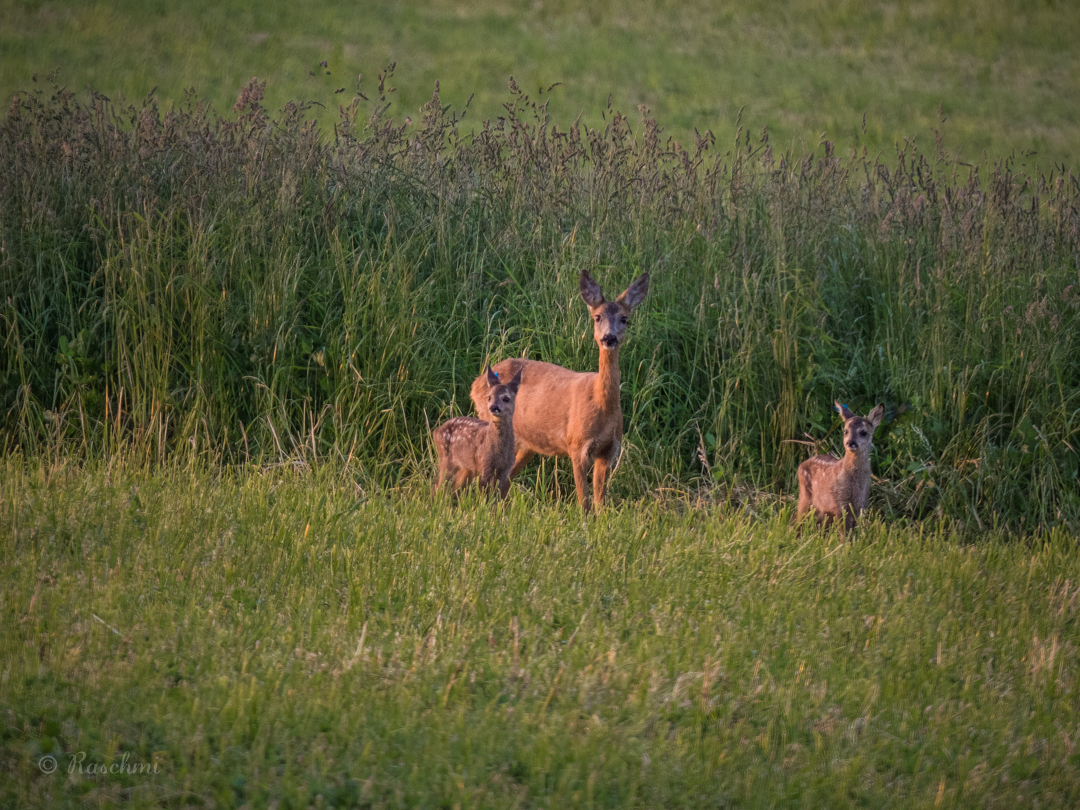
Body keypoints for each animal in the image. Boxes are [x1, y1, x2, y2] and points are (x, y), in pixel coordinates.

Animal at [429, 367, 522, 501]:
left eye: (506, 398)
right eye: (489, 397)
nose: (493, 407)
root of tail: (436, 431)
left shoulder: (505, 469)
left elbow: (497, 497)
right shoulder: (484, 466)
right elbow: (484, 496)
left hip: (466, 467)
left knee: (455, 487)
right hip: (446, 458)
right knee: (438, 485)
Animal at [470, 273, 648, 514]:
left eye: (624, 318)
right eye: (597, 317)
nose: (609, 338)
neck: (602, 407)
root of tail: (476, 383)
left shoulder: (609, 450)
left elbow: (600, 502)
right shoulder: (577, 445)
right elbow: (584, 501)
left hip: (527, 445)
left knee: (505, 481)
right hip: (495, 423)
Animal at [794, 401, 885, 540]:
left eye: (863, 432)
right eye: (845, 431)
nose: (851, 442)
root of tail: (801, 464)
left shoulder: (861, 504)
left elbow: (854, 531)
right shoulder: (840, 503)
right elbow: (844, 533)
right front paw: (843, 544)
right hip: (806, 497)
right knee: (799, 518)